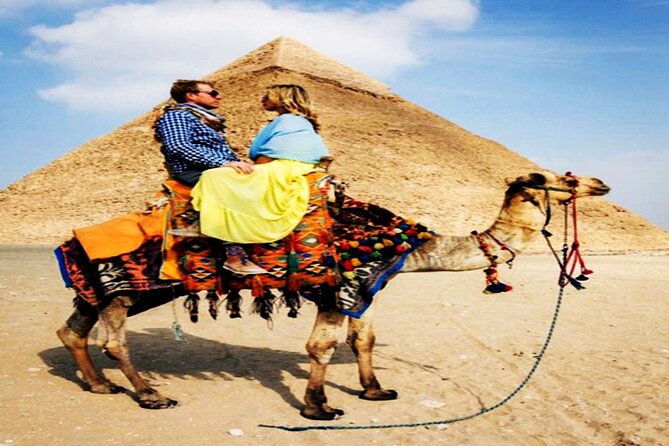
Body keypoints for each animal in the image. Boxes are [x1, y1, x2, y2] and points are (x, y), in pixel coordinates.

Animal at [56, 171, 610, 420]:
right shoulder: (334, 288)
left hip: (103, 289)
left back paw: (100, 386)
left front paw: (374, 391)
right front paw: (318, 407)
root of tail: (70, 241)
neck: (407, 245)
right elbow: (320, 347)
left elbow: (362, 340)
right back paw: (151, 394)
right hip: (129, 287)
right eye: (558, 178)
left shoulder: (367, 288)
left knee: (72, 328)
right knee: (113, 339)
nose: (601, 183)